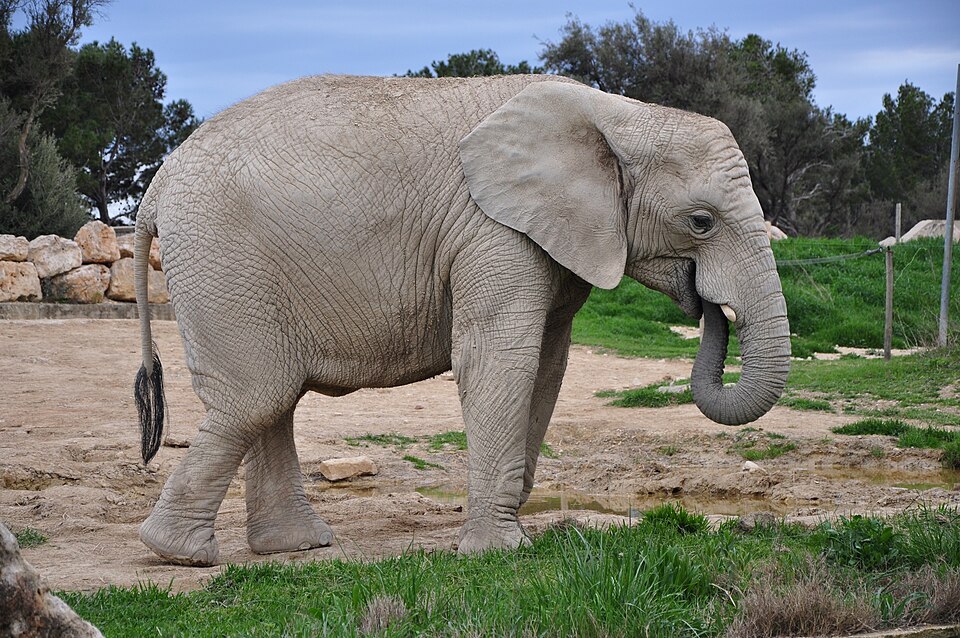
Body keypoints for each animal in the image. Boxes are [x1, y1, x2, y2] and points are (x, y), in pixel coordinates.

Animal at [132, 74, 790, 566]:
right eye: (701, 222)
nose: (706, 304)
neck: (618, 112)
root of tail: (157, 186)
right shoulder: (490, 230)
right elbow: (502, 357)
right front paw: (500, 551)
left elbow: (547, 364)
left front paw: (511, 526)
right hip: (221, 258)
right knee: (258, 397)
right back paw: (181, 554)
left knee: (275, 398)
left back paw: (293, 547)